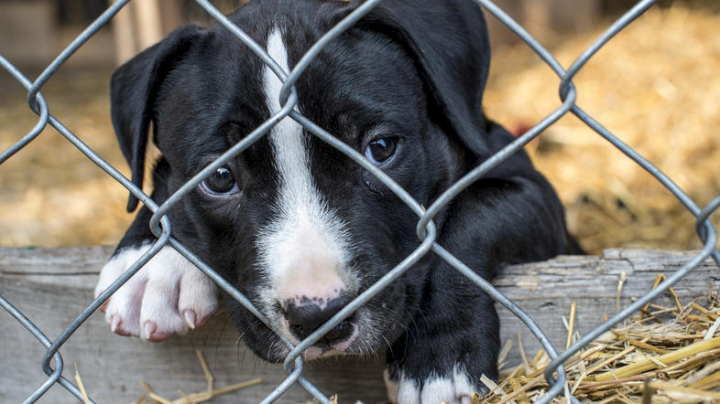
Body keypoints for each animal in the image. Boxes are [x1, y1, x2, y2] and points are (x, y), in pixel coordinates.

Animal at [94, 0, 580, 402]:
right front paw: (151, 263)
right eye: (220, 178)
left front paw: (440, 359)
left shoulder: (536, 197)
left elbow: (469, 217)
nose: (318, 316)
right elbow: (162, 178)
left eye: (380, 148)